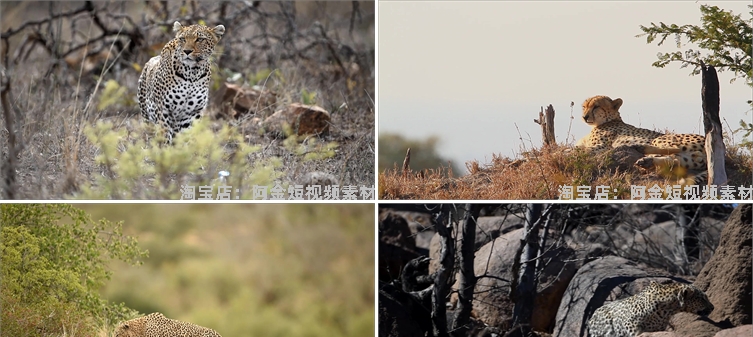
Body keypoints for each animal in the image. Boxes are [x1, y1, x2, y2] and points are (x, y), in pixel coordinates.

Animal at [576, 95, 704, 172]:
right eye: (584, 107)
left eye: (596, 107)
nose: (584, 117)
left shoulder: (603, 146)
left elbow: (580, 149)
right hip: (689, 160)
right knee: (674, 160)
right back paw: (646, 161)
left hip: (662, 138)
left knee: (673, 149)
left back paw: (639, 148)